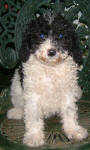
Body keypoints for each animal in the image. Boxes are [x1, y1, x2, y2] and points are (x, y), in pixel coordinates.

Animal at [7, 11, 88, 146]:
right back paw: (17, 112)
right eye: (41, 35)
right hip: (16, 87)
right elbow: (33, 115)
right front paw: (34, 136)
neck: (50, 68)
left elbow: (69, 111)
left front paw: (73, 130)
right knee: (19, 103)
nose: (51, 52)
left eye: (61, 35)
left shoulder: (67, 91)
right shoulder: (32, 94)